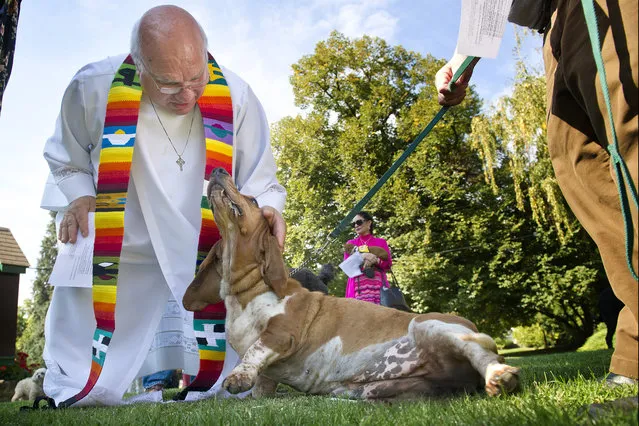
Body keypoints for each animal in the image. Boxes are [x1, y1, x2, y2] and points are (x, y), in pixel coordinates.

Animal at [181, 168, 520, 402]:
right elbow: (262, 385)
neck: (244, 294)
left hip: (433, 327)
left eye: (252, 200)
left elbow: (256, 350)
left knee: (482, 354)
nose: (219, 170)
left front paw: (238, 377)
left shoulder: (281, 332)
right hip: (371, 390)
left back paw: (501, 375)